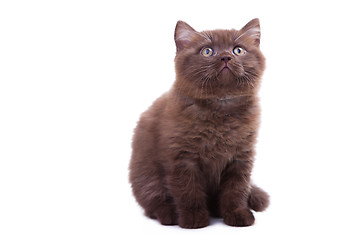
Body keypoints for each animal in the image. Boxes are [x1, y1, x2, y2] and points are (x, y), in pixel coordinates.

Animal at [130, 19, 270, 229]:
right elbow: (188, 190)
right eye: (208, 51)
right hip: (145, 176)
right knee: (153, 201)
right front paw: (194, 219)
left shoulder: (241, 157)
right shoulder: (182, 157)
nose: (226, 57)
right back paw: (169, 214)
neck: (221, 107)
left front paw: (237, 214)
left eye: (238, 50)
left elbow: (236, 189)